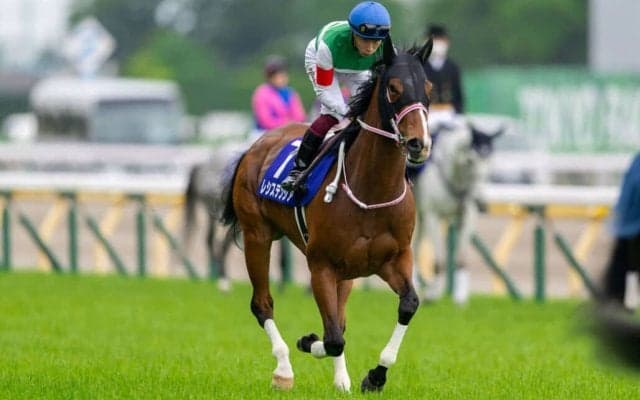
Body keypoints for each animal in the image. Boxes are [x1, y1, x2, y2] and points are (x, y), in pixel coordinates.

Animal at [221, 37, 433, 392]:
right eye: (393, 88)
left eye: (428, 87)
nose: (420, 143)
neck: (371, 190)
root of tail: (256, 145)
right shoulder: (321, 265)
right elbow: (332, 338)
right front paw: (307, 342)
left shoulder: (394, 259)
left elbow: (407, 306)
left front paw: (374, 376)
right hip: (257, 236)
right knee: (262, 304)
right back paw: (284, 371)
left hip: (347, 271)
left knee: (339, 318)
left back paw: (341, 380)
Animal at [412, 120, 503, 304]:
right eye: (471, 161)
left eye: (489, 161)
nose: (481, 203)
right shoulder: (433, 216)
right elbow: (438, 261)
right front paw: (432, 295)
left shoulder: (467, 218)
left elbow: (461, 259)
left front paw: (460, 297)